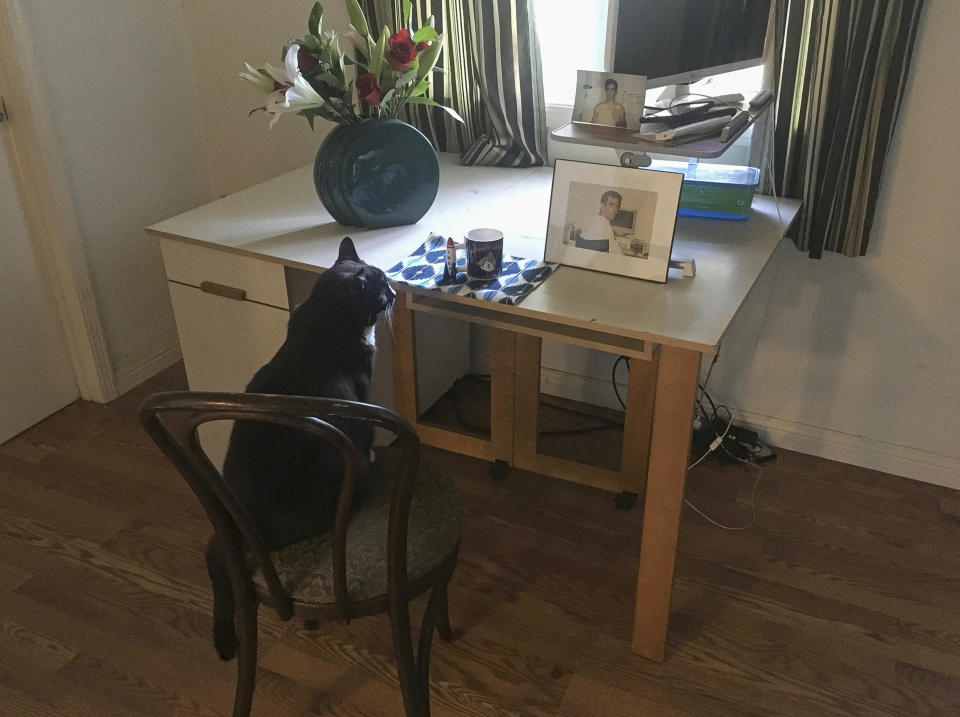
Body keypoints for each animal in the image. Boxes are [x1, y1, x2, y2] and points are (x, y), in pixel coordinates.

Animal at [204, 236, 396, 660]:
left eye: (387, 280)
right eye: (379, 287)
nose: (394, 293)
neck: (327, 319)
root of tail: (251, 522)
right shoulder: (363, 398)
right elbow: (369, 432)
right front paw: (378, 451)